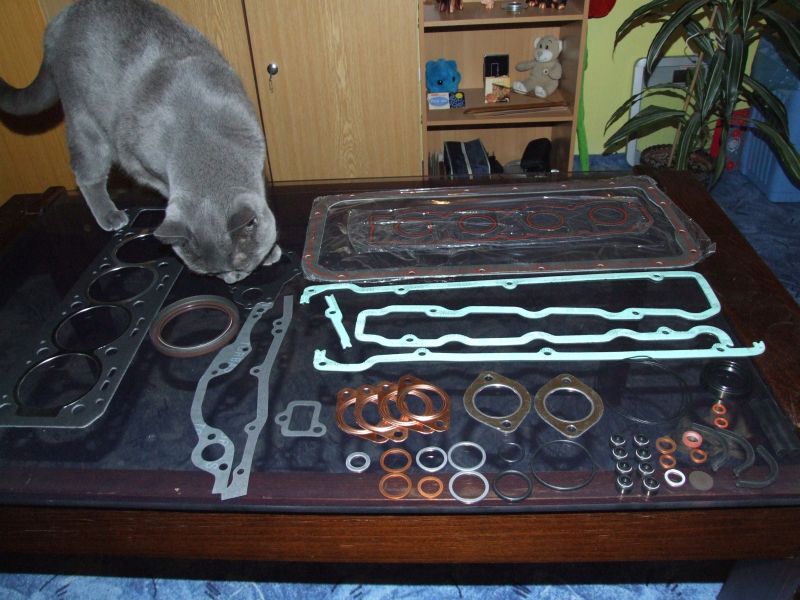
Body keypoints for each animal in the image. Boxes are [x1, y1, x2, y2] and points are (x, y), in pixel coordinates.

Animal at [0, 0, 280, 284]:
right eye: (211, 273)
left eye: (239, 263)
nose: (232, 280)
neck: (202, 140)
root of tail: (57, 22)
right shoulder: (138, 163)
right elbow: (163, 187)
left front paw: (271, 252)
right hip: (83, 117)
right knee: (86, 174)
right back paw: (109, 215)